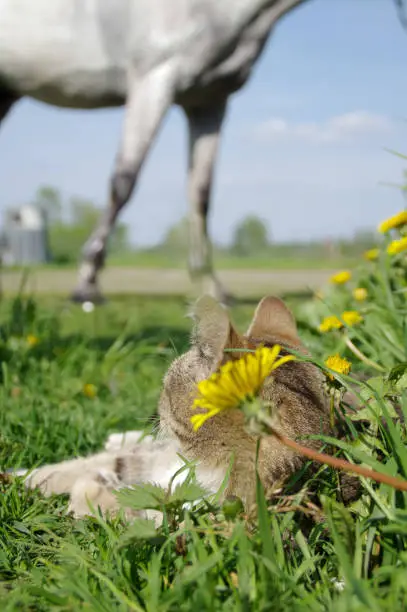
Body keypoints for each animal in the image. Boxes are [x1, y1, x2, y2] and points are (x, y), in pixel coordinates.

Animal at [18, 294, 332, 520]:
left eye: (165, 388)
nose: (153, 413)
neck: (201, 464)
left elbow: (128, 508)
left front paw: (93, 491)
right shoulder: (148, 458)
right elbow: (77, 467)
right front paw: (26, 477)